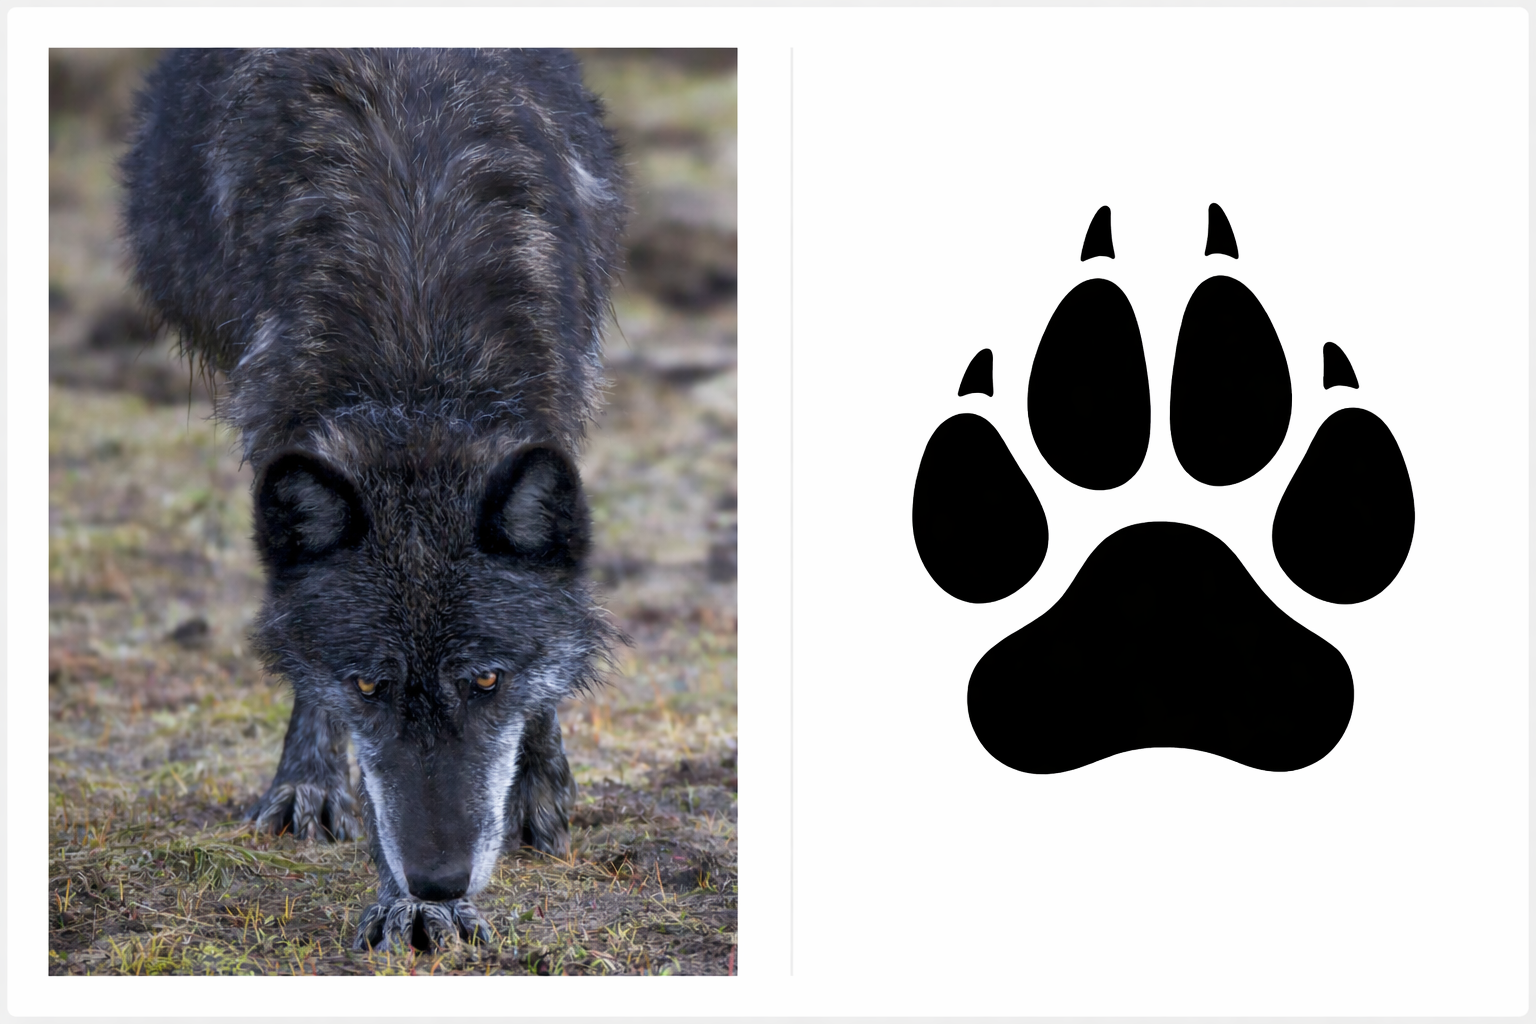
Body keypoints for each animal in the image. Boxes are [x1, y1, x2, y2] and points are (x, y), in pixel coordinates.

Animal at [121, 48, 626, 951]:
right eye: (366, 686)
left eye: (486, 680)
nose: (439, 878)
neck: (418, 362)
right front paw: (410, 902)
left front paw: (537, 789)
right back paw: (310, 787)